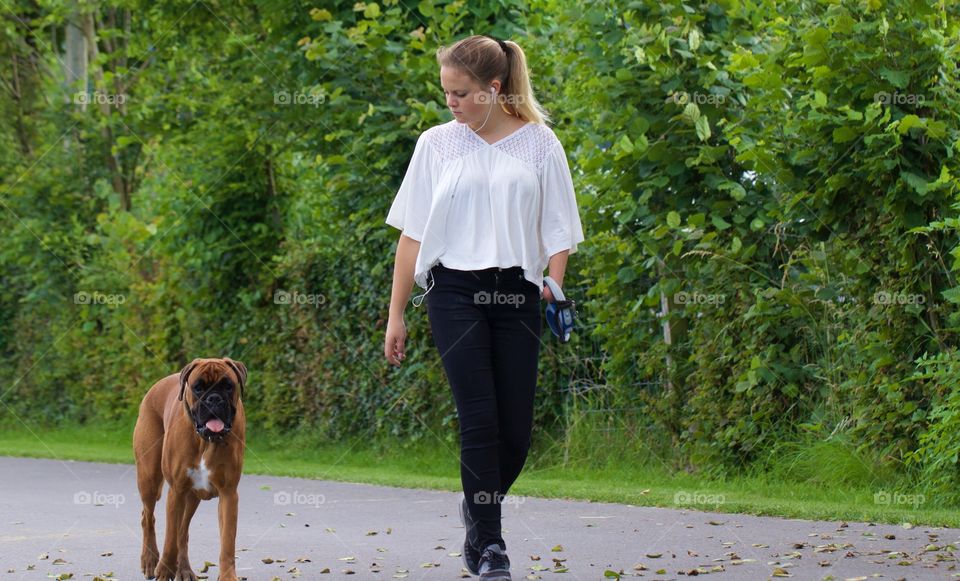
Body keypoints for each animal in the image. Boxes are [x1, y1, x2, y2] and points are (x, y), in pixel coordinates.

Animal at [134, 356, 248, 576]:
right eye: (198, 387)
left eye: (228, 386)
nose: (214, 399)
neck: (207, 441)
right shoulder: (176, 492)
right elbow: (170, 539)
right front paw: (164, 571)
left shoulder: (229, 494)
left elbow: (227, 543)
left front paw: (227, 576)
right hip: (149, 478)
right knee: (148, 517)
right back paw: (150, 561)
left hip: (192, 497)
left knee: (183, 532)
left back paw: (184, 570)